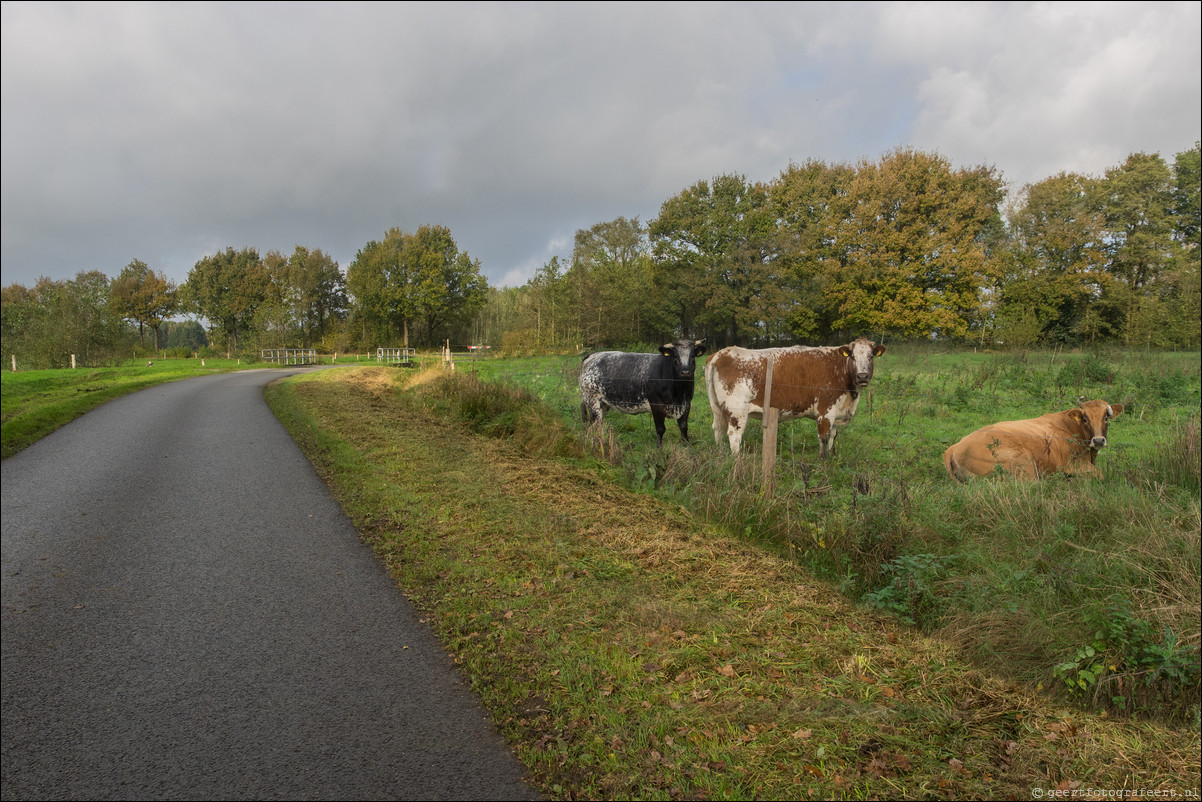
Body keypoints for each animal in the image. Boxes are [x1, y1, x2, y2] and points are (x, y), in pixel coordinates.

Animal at [701, 339, 884, 456]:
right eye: (853, 356)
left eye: (871, 356)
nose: (862, 376)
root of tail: (721, 353)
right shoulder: (825, 411)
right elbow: (824, 438)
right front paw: (824, 463)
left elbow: (833, 437)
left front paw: (832, 458)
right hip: (737, 411)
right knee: (734, 434)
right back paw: (736, 460)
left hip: (717, 408)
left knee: (718, 429)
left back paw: (720, 454)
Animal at [942, 399, 1120, 480]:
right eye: (1085, 419)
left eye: (1106, 418)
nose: (1098, 441)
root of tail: (954, 447)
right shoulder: (1073, 465)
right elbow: (1100, 474)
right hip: (1024, 461)